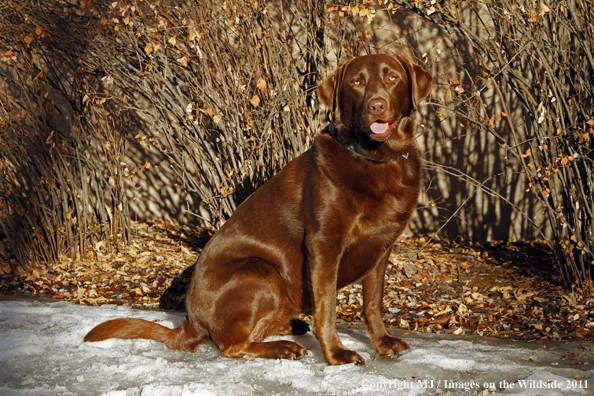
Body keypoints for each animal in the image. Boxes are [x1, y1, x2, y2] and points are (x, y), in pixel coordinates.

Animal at [84, 52, 430, 366]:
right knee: (232, 346)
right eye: (356, 82)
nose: (376, 105)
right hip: (263, 273)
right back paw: (282, 348)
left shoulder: (381, 247)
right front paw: (336, 354)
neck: (375, 160)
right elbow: (327, 307)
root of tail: (190, 322)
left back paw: (290, 327)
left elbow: (373, 303)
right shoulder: (324, 244)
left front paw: (382, 342)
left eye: (392, 77)